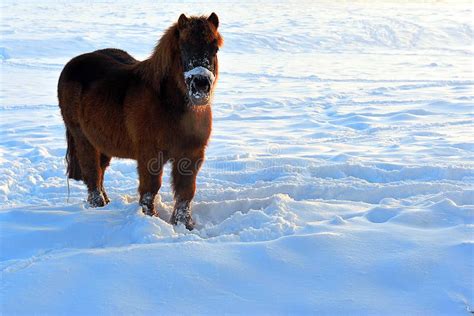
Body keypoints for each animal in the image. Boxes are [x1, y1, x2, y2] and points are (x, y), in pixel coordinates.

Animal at [57, 12, 224, 230]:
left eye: (215, 48)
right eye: (183, 47)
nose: (201, 85)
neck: (169, 105)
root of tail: (72, 64)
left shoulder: (191, 154)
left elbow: (185, 192)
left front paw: (184, 225)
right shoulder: (149, 154)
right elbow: (150, 189)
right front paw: (149, 217)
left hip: (101, 142)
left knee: (100, 172)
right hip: (83, 138)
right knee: (92, 173)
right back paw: (98, 207)